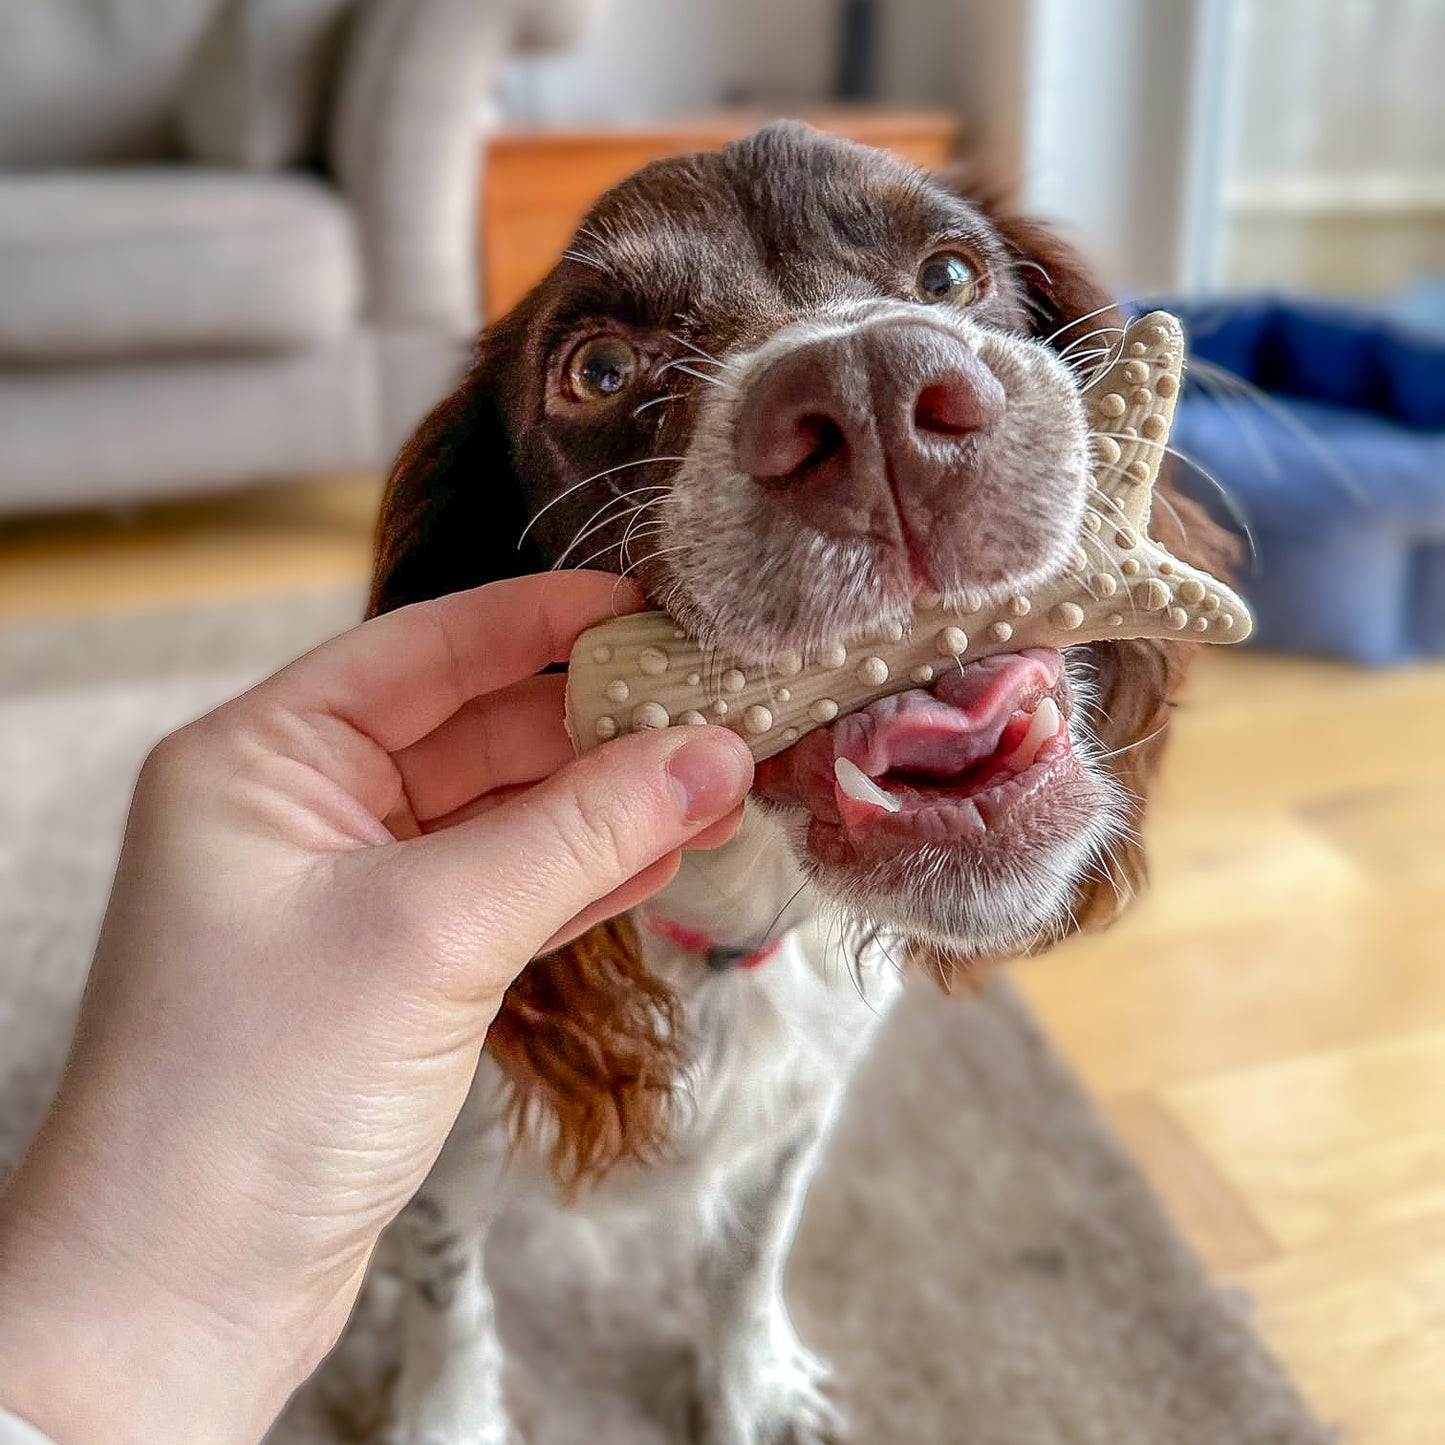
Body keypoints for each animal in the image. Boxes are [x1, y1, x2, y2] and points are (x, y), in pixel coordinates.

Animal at [358, 124, 1231, 1445]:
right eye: (597, 369)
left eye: (951, 275)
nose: (878, 398)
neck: (719, 944)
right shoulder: (436, 1139)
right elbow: (447, 1292)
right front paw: (444, 1416)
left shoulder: (799, 1110)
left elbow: (747, 1252)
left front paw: (748, 1382)